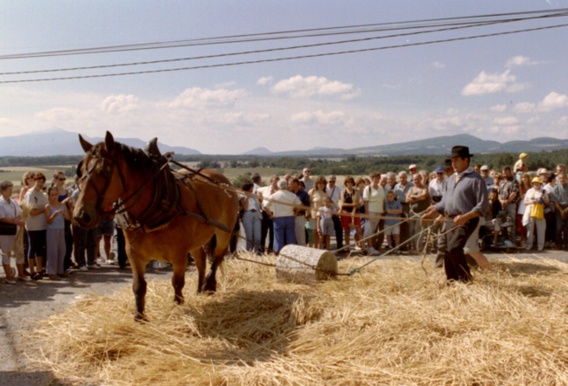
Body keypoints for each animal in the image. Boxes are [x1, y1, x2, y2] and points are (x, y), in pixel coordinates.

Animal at [72, 132, 237, 320]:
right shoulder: (133, 253)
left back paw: (209, 284)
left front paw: (177, 306)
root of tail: (223, 181)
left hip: (224, 231)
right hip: (196, 240)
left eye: (103, 172)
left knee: (217, 256)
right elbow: (139, 285)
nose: (80, 215)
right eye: (80, 172)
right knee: (201, 260)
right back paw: (199, 289)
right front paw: (139, 316)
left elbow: (177, 283)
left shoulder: (179, 255)